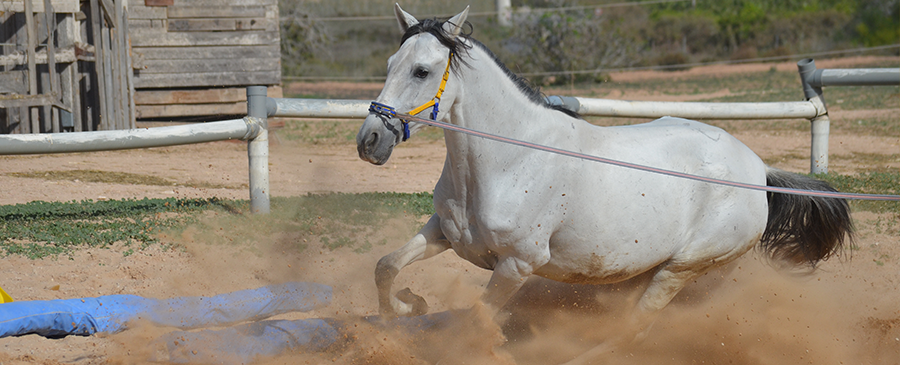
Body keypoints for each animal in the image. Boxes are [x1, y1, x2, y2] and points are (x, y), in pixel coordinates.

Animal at [356, 4, 852, 362]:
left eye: (421, 70)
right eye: (390, 62)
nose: (370, 140)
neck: (509, 160)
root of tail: (759, 172)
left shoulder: (517, 264)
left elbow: (475, 319)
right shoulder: (444, 232)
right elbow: (385, 266)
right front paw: (409, 306)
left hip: (681, 269)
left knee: (633, 329)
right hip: (652, 270)